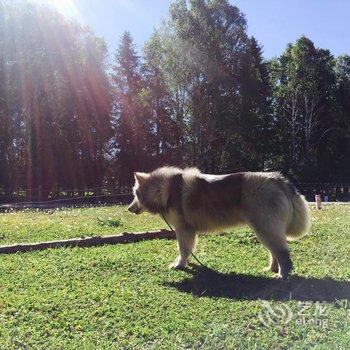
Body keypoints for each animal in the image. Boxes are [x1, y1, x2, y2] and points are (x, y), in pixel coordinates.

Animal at [128, 167, 308, 278]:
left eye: (135, 194)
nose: (129, 208)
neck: (165, 190)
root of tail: (279, 178)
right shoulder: (188, 232)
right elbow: (188, 249)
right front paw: (187, 262)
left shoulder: (183, 230)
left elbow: (183, 249)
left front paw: (180, 264)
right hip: (264, 231)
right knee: (274, 253)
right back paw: (271, 269)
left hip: (265, 230)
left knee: (282, 254)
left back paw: (282, 275)